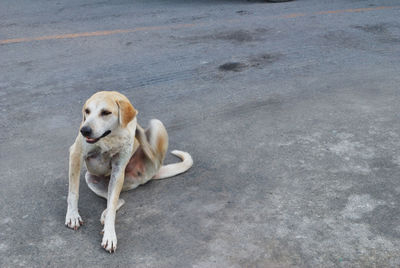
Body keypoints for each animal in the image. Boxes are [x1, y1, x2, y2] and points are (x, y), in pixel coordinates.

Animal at [65, 91, 193, 252]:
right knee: (118, 200)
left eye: (105, 112)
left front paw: (109, 235)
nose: (85, 130)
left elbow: (112, 205)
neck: (110, 136)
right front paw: (72, 215)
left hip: (156, 125)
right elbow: (73, 192)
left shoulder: (118, 170)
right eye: (87, 111)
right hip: (91, 178)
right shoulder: (76, 154)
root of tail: (150, 174)